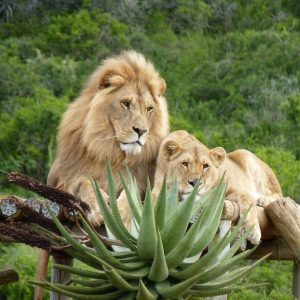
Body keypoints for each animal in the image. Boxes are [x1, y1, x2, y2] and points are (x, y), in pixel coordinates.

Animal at [48, 50, 169, 226]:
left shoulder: (144, 180)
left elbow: (132, 189)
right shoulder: (62, 178)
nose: (141, 131)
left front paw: (123, 217)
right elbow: (83, 182)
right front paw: (98, 207)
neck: (110, 152)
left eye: (149, 108)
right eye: (125, 103)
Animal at [152, 130, 282, 245]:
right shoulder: (159, 188)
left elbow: (247, 200)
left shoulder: (229, 187)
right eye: (184, 164)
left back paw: (262, 200)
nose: (196, 182)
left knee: (279, 194)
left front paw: (253, 232)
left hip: (246, 155)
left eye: (205, 166)